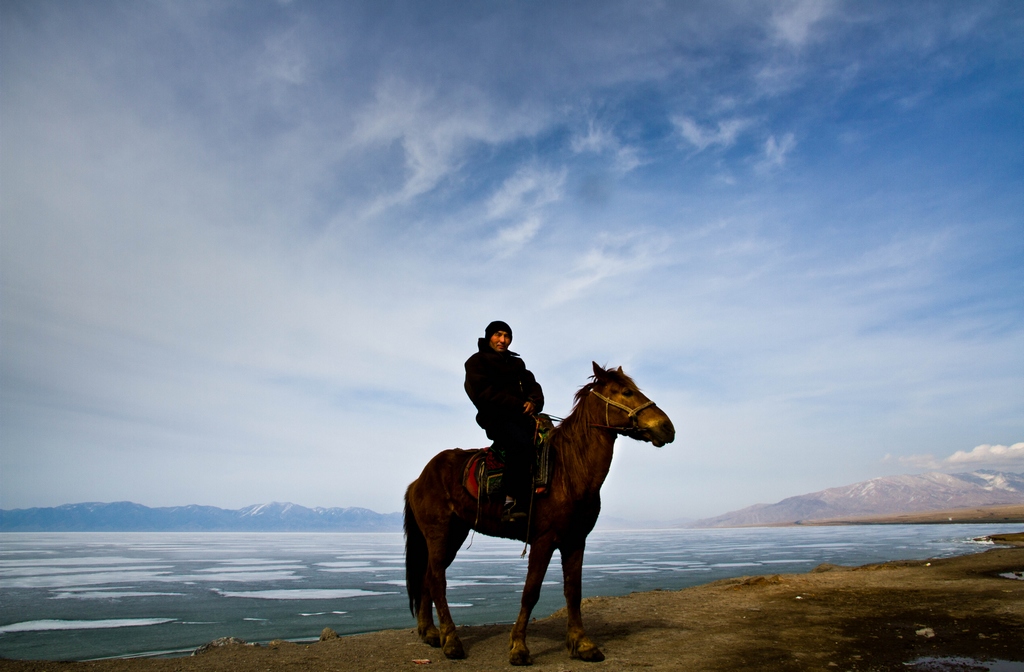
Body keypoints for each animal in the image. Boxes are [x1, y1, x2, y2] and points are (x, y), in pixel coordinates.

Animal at [403, 360, 675, 663]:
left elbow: (573, 591)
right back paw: (451, 641)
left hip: (455, 533)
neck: (568, 471)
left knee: (427, 577)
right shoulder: (544, 540)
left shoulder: (575, 541)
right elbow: (530, 592)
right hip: (439, 533)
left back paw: (429, 633)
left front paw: (583, 644)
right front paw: (519, 648)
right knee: (437, 579)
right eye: (626, 392)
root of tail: (419, 479)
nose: (667, 427)